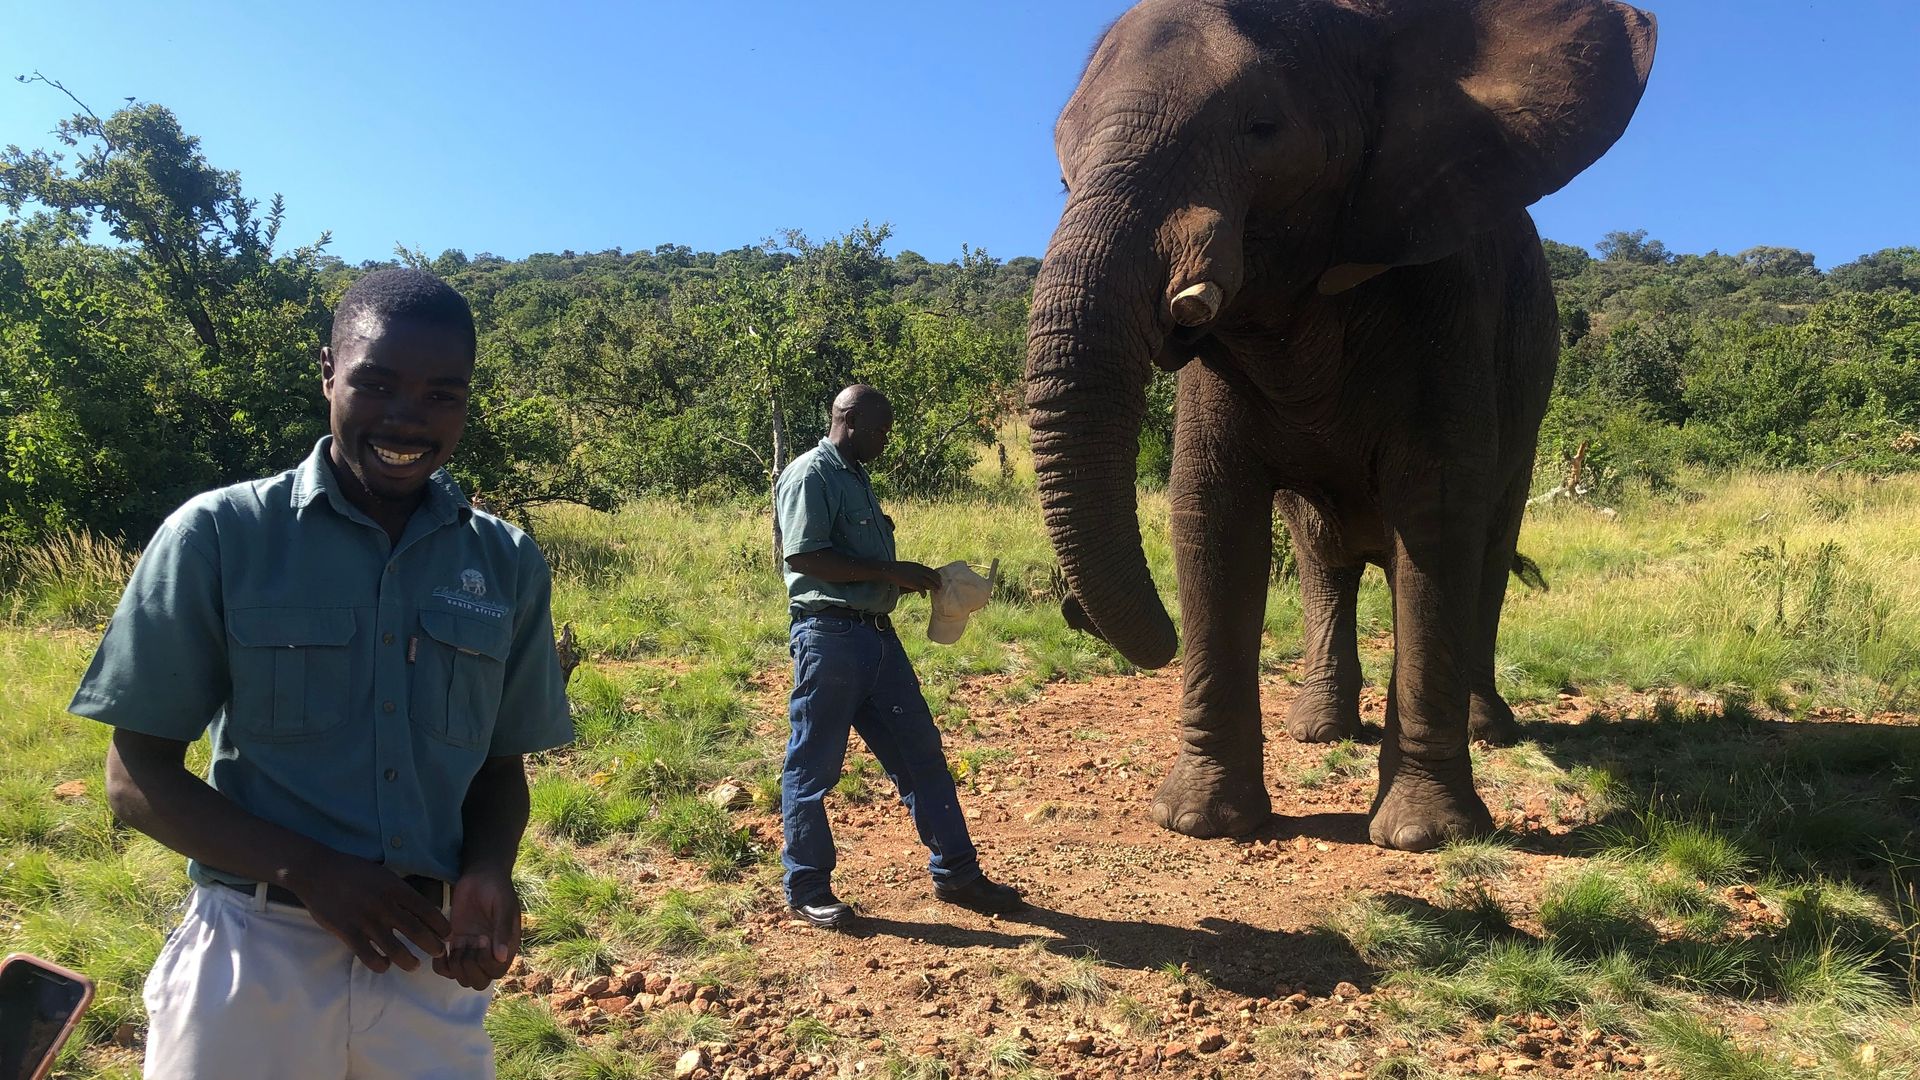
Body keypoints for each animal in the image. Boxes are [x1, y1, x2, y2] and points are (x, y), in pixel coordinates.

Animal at [1026, 0, 1656, 851]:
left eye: (1262, 127)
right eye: (1063, 175)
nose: (1071, 609)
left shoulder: (1447, 290)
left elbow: (1435, 514)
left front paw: (1424, 837)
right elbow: (1211, 514)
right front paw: (1200, 822)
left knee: (1488, 546)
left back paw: (1487, 730)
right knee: (1325, 555)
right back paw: (1320, 730)